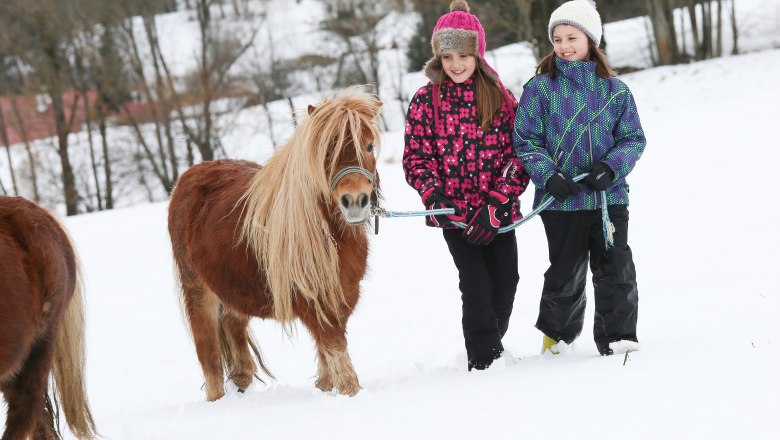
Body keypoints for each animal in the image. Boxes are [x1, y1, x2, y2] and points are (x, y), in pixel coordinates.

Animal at [168, 87, 384, 400]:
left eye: (368, 147)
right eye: (326, 152)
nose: (354, 201)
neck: (330, 234)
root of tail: (189, 177)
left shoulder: (341, 296)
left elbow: (327, 359)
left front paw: (324, 388)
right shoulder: (315, 304)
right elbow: (340, 363)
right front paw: (350, 395)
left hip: (232, 290)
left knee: (234, 333)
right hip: (198, 293)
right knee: (209, 356)